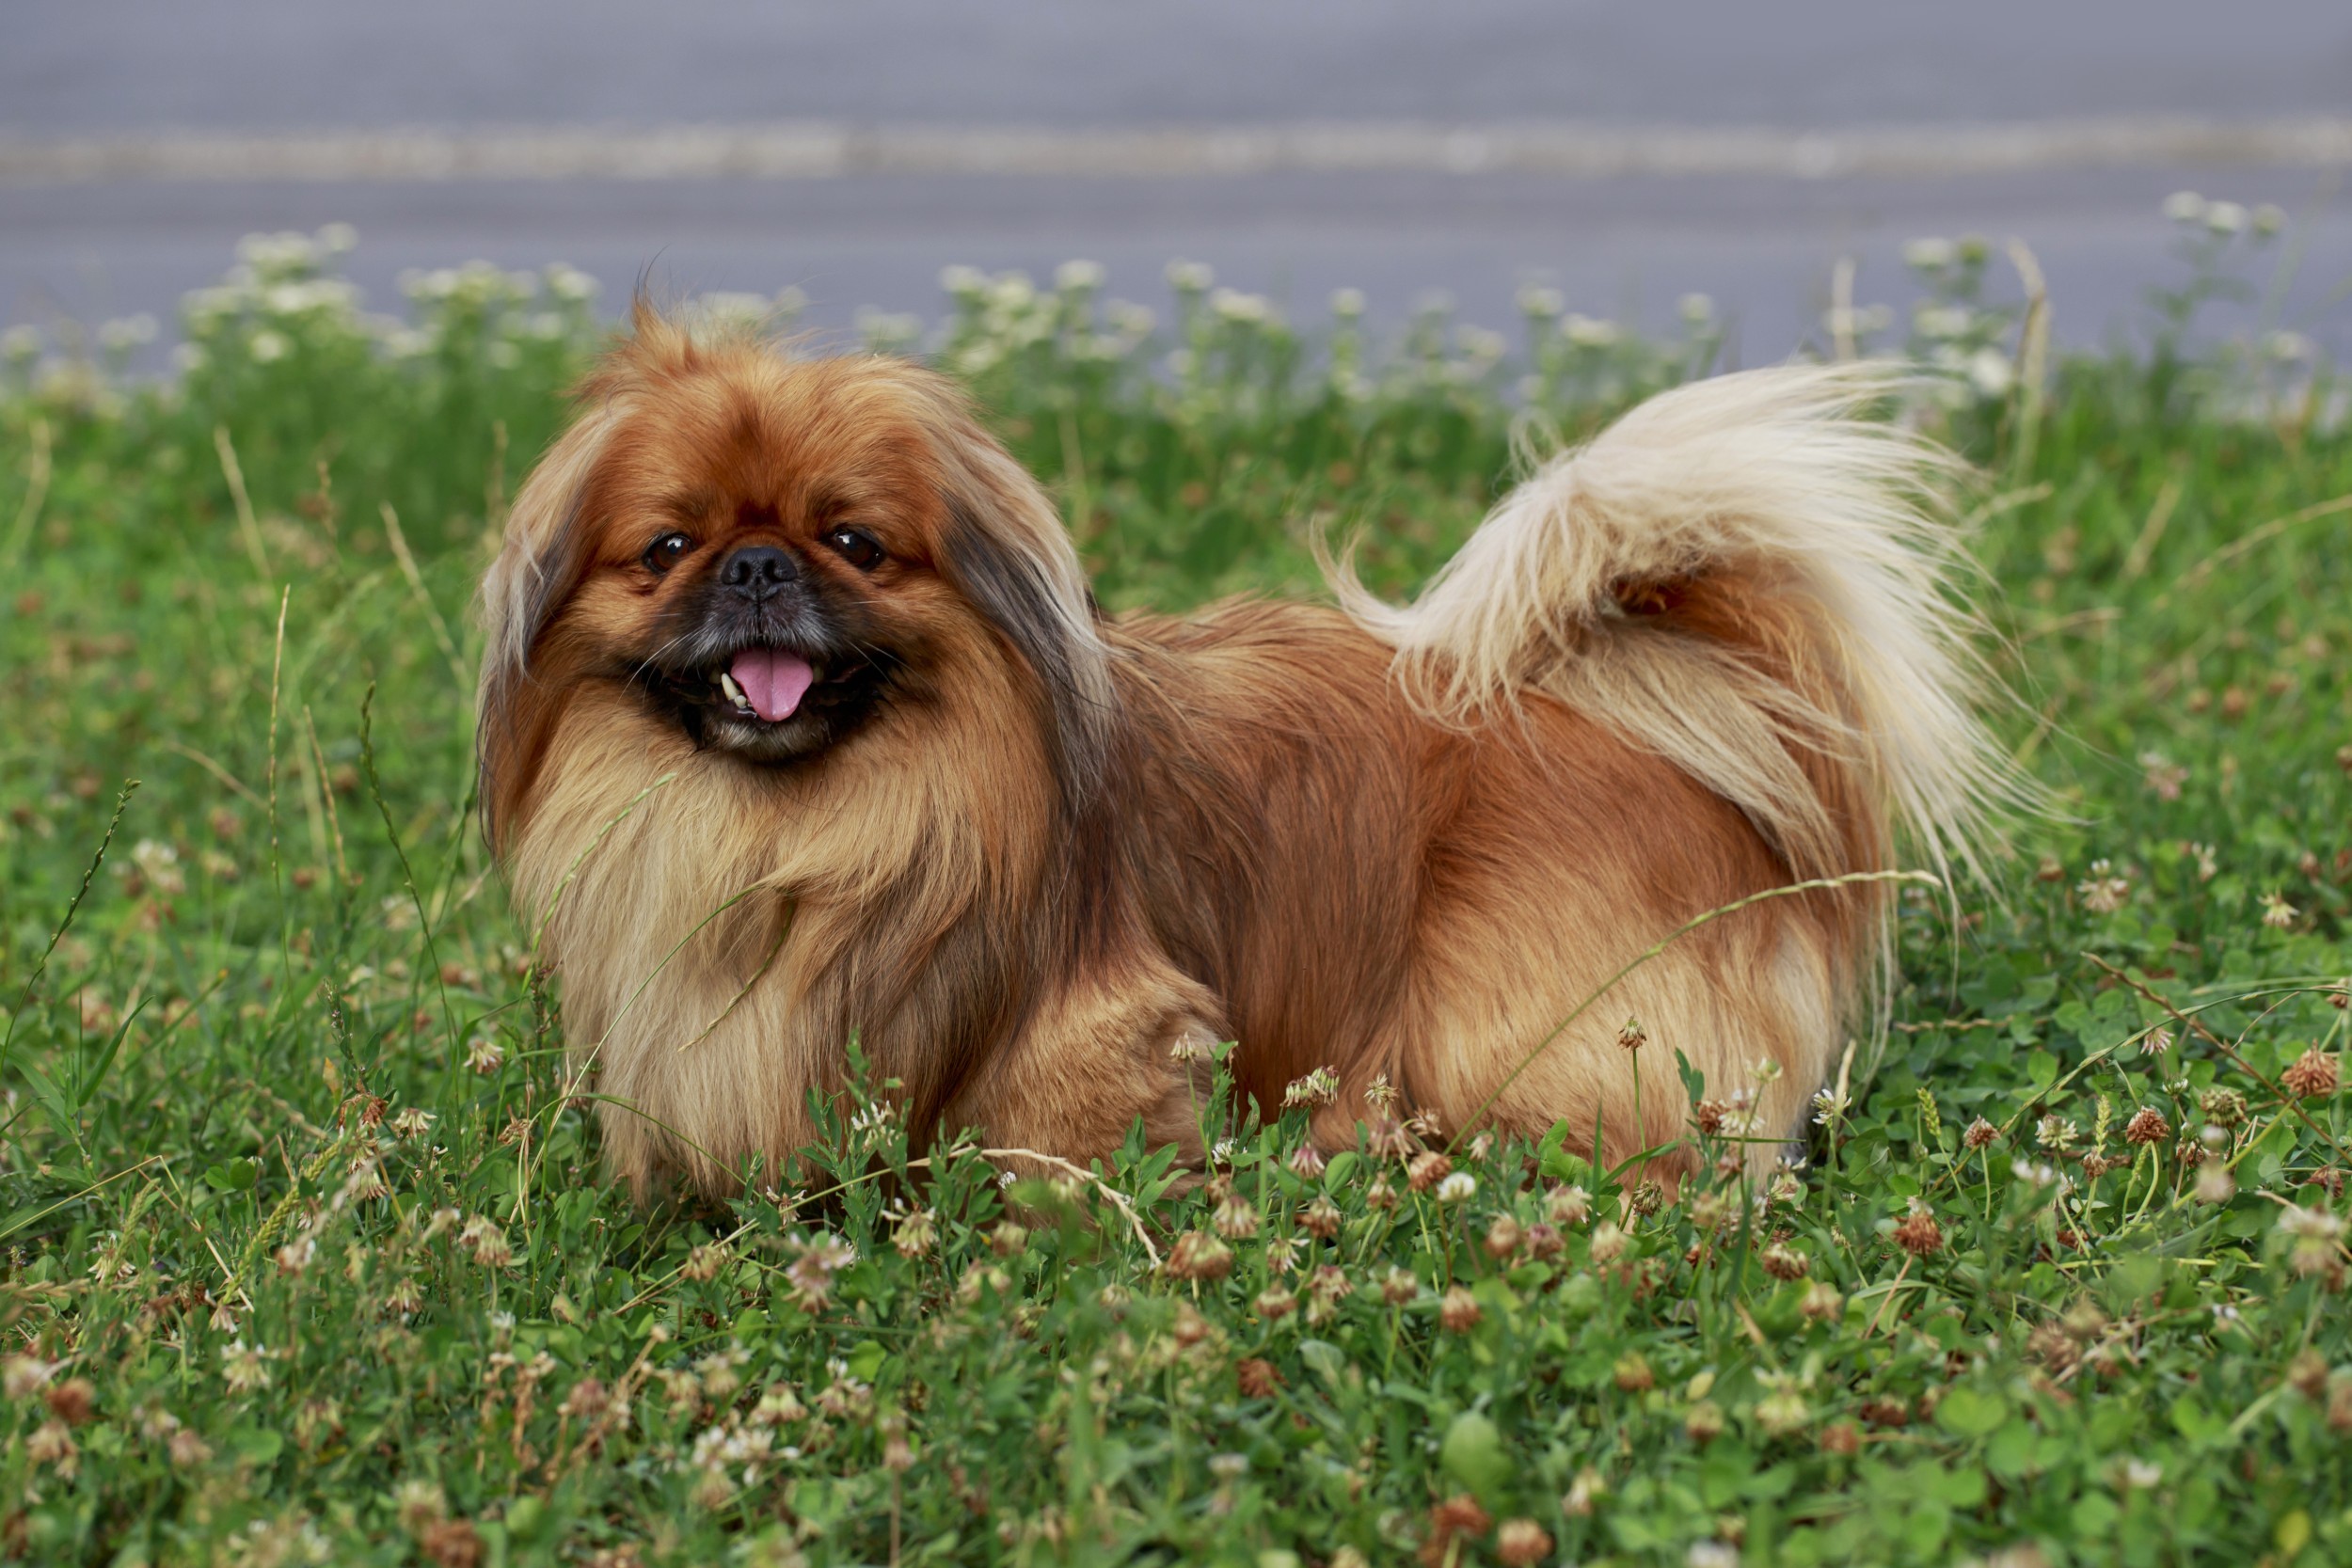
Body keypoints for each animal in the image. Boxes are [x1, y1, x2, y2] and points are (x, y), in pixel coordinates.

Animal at [482, 305, 2004, 1203]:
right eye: (667, 547)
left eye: (853, 541)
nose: (753, 564)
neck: (794, 826)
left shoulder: (1095, 1024)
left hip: (1517, 1024)